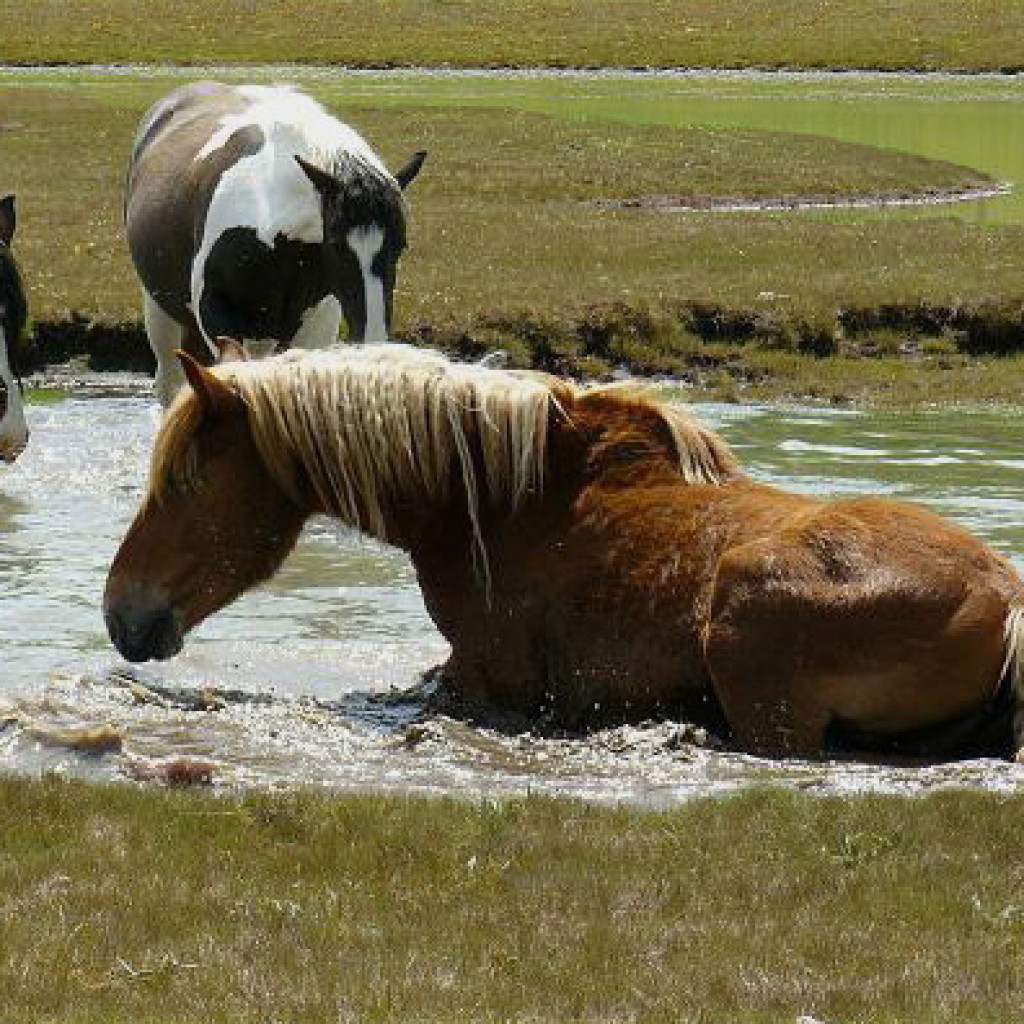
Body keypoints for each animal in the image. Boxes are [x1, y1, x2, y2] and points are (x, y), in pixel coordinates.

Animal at [101, 344, 1024, 761]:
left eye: (183, 480)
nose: (121, 614)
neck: (491, 501)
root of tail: (1005, 597)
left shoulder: (488, 677)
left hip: (755, 659)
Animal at [124, 80, 428, 407]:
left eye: (401, 246)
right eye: (335, 244)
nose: (372, 339)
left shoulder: (316, 325)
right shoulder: (214, 313)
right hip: (161, 314)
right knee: (171, 382)